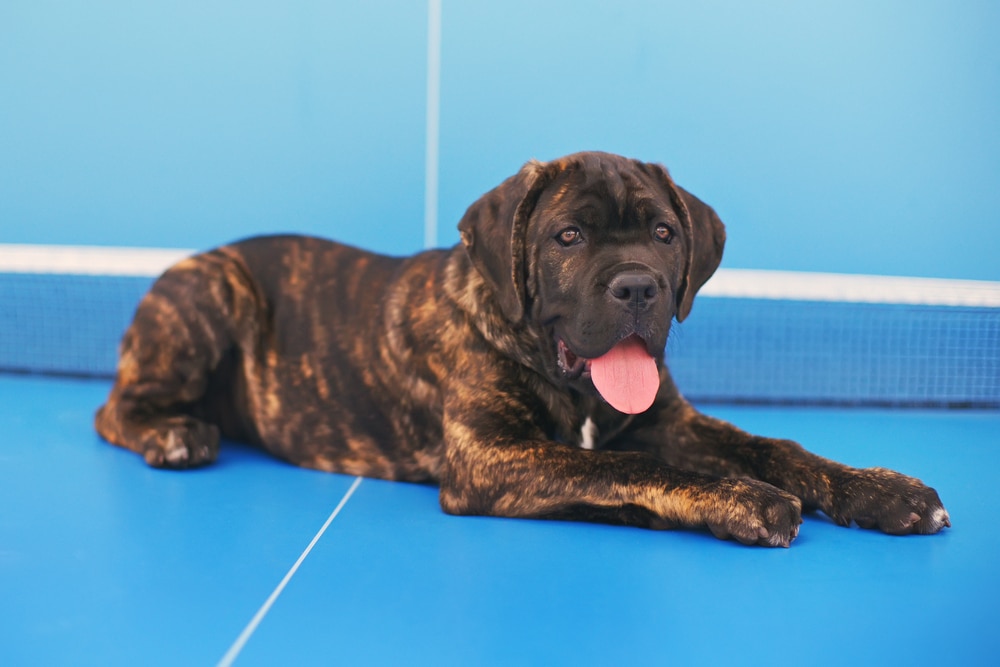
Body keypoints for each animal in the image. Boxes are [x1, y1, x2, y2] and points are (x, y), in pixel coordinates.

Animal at [97, 151, 948, 548]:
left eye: (663, 233)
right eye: (567, 237)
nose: (637, 287)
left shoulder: (668, 421)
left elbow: (776, 445)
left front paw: (882, 490)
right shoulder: (492, 456)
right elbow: (618, 468)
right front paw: (740, 497)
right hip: (213, 292)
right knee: (112, 409)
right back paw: (174, 434)